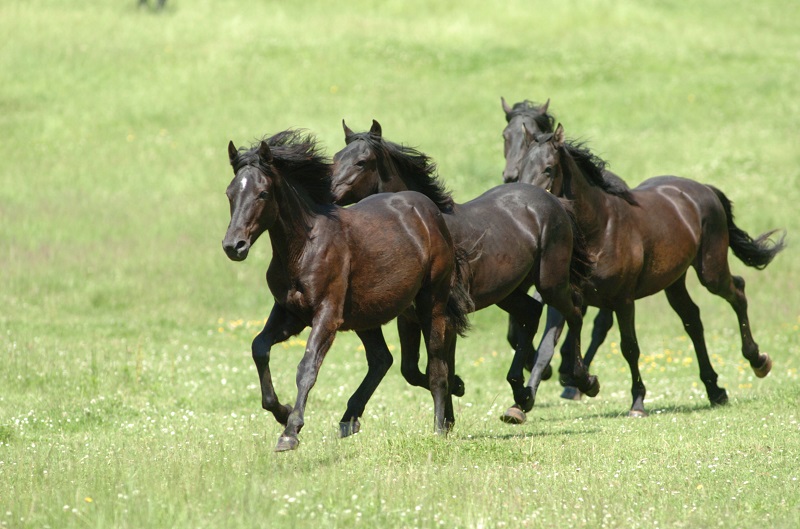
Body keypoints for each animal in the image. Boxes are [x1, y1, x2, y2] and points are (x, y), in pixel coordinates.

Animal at [222, 129, 473, 451]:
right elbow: (259, 348)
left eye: (262, 193)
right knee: (382, 360)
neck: (304, 248)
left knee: (437, 365)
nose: (234, 246)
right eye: (230, 193)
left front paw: (290, 431)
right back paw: (350, 419)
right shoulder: (290, 313)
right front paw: (282, 411)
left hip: (432, 303)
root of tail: (428, 210)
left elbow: (307, 367)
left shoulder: (327, 315)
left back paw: (440, 426)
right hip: (367, 315)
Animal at [330, 119, 599, 424]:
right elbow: (412, 370)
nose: (330, 193)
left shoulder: (443, 315)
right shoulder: (410, 317)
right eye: (336, 158)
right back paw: (521, 395)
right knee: (531, 313)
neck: (426, 226)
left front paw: (448, 408)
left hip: (550, 283)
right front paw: (452, 405)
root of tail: (556, 203)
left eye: (361, 162)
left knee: (574, 312)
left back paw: (584, 381)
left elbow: (437, 365)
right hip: (508, 292)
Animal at [516, 123, 786, 416]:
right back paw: (715, 390)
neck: (601, 228)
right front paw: (523, 404)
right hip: (674, 281)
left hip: (711, 272)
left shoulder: (623, 301)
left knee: (737, 291)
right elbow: (546, 349)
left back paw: (758, 361)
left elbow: (629, 348)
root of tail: (703, 189)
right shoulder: (563, 300)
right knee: (693, 320)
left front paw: (637, 403)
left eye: (548, 168)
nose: (528, 204)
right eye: (520, 168)